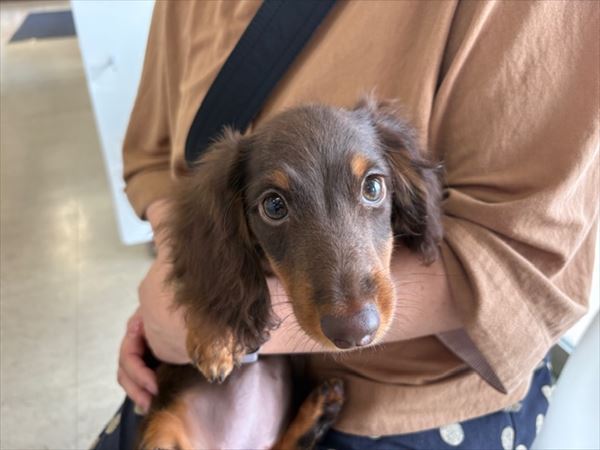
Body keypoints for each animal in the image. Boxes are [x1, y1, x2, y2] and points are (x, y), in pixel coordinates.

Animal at [138, 97, 443, 449]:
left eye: (373, 186)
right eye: (273, 206)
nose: (355, 332)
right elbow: (222, 280)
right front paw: (215, 334)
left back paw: (319, 409)